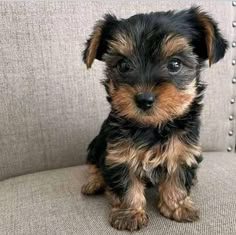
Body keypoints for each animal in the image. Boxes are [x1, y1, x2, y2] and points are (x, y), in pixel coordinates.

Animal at [80, 6, 227, 231]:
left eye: (175, 64)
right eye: (123, 66)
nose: (144, 99)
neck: (152, 127)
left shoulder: (183, 149)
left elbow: (177, 177)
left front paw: (177, 206)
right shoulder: (119, 153)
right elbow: (126, 184)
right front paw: (130, 213)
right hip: (97, 144)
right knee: (94, 164)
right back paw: (94, 182)